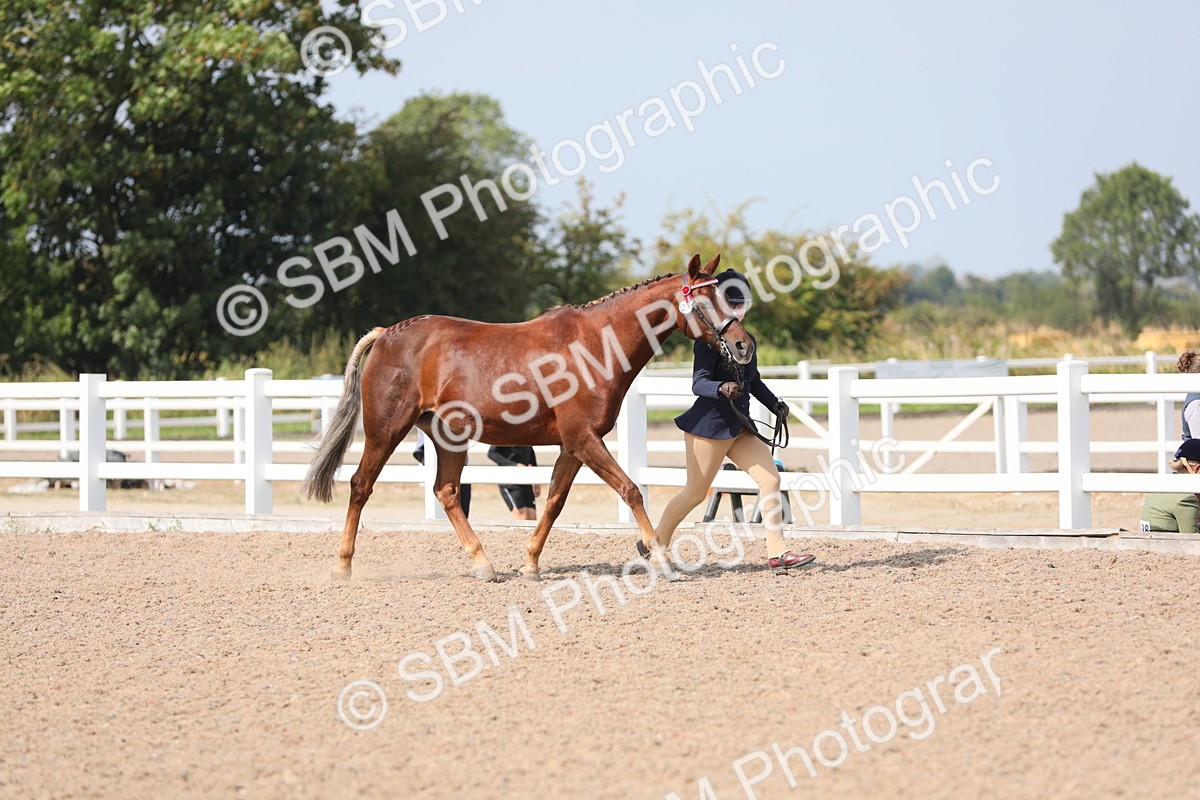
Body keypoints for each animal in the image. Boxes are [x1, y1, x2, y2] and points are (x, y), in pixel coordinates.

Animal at [300, 253, 755, 581]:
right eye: (704, 301)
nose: (743, 345)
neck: (595, 346)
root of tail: (387, 334)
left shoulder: (573, 445)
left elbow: (553, 502)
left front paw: (531, 564)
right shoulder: (585, 439)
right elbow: (630, 491)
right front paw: (660, 560)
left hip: (450, 437)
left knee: (446, 492)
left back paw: (484, 566)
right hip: (385, 431)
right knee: (361, 486)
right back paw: (342, 566)